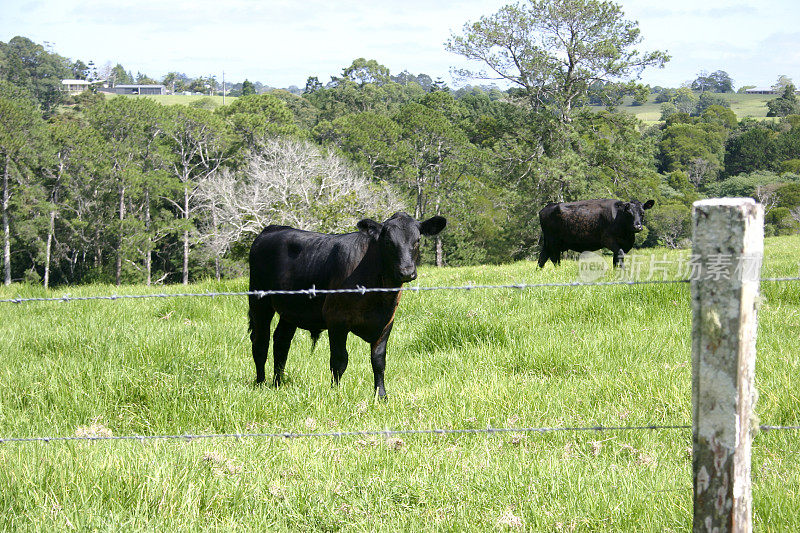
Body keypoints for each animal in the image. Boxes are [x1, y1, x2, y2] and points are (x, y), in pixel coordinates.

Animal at [247, 212, 446, 400]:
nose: (406, 272)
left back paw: (278, 383)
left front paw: (381, 395)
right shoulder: (336, 320)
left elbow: (378, 360)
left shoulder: (386, 322)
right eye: (388, 241)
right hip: (259, 301)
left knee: (281, 342)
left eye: (417, 240)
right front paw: (336, 392)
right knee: (260, 342)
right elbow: (339, 360)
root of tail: (272, 228)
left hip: (290, 310)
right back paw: (260, 383)